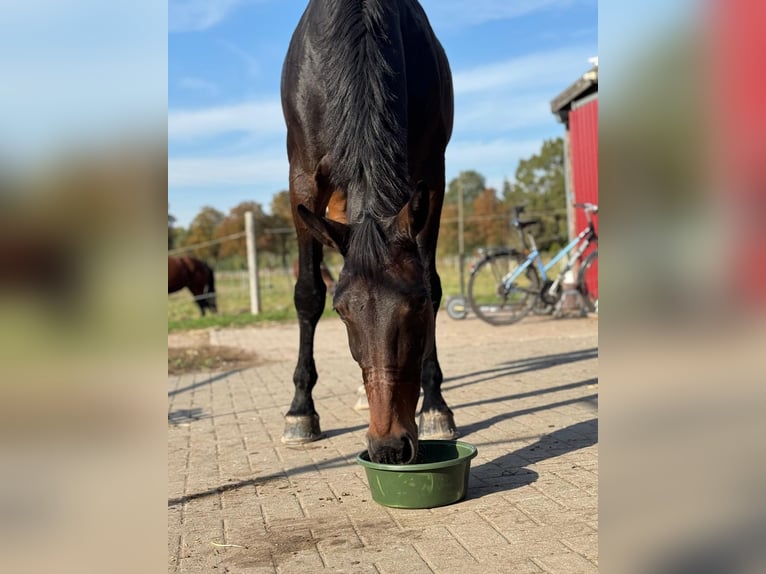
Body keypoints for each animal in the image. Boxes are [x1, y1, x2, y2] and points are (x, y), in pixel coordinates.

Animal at [284, 0, 460, 466]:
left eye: (417, 308)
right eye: (343, 312)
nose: (389, 447)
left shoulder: (432, 175)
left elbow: (433, 282)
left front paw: (436, 406)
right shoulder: (302, 177)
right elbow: (309, 294)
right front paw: (300, 412)